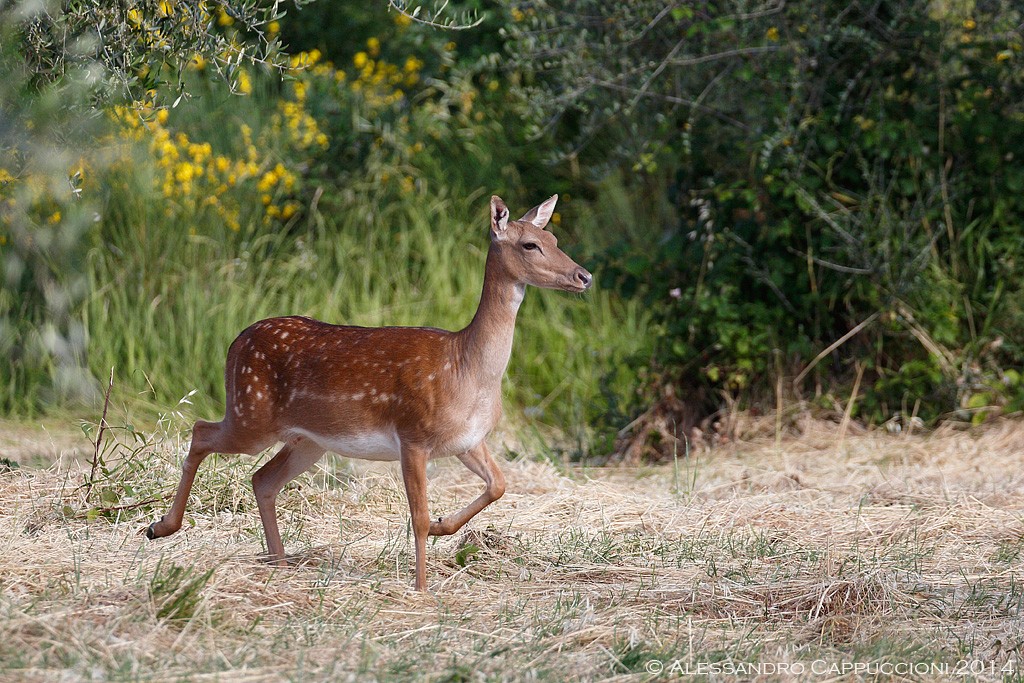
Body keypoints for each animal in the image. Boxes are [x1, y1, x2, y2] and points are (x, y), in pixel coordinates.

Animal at [145, 194, 593, 589]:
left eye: (555, 238)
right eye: (530, 244)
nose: (584, 276)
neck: (467, 368)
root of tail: (236, 342)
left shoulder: (467, 440)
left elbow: (497, 485)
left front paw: (445, 527)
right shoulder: (413, 434)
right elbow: (418, 516)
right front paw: (422, 589)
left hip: (308, 440)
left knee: (262, 479)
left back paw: (279, 563)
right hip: (250, 412)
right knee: (201, 431)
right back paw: (161, 527)